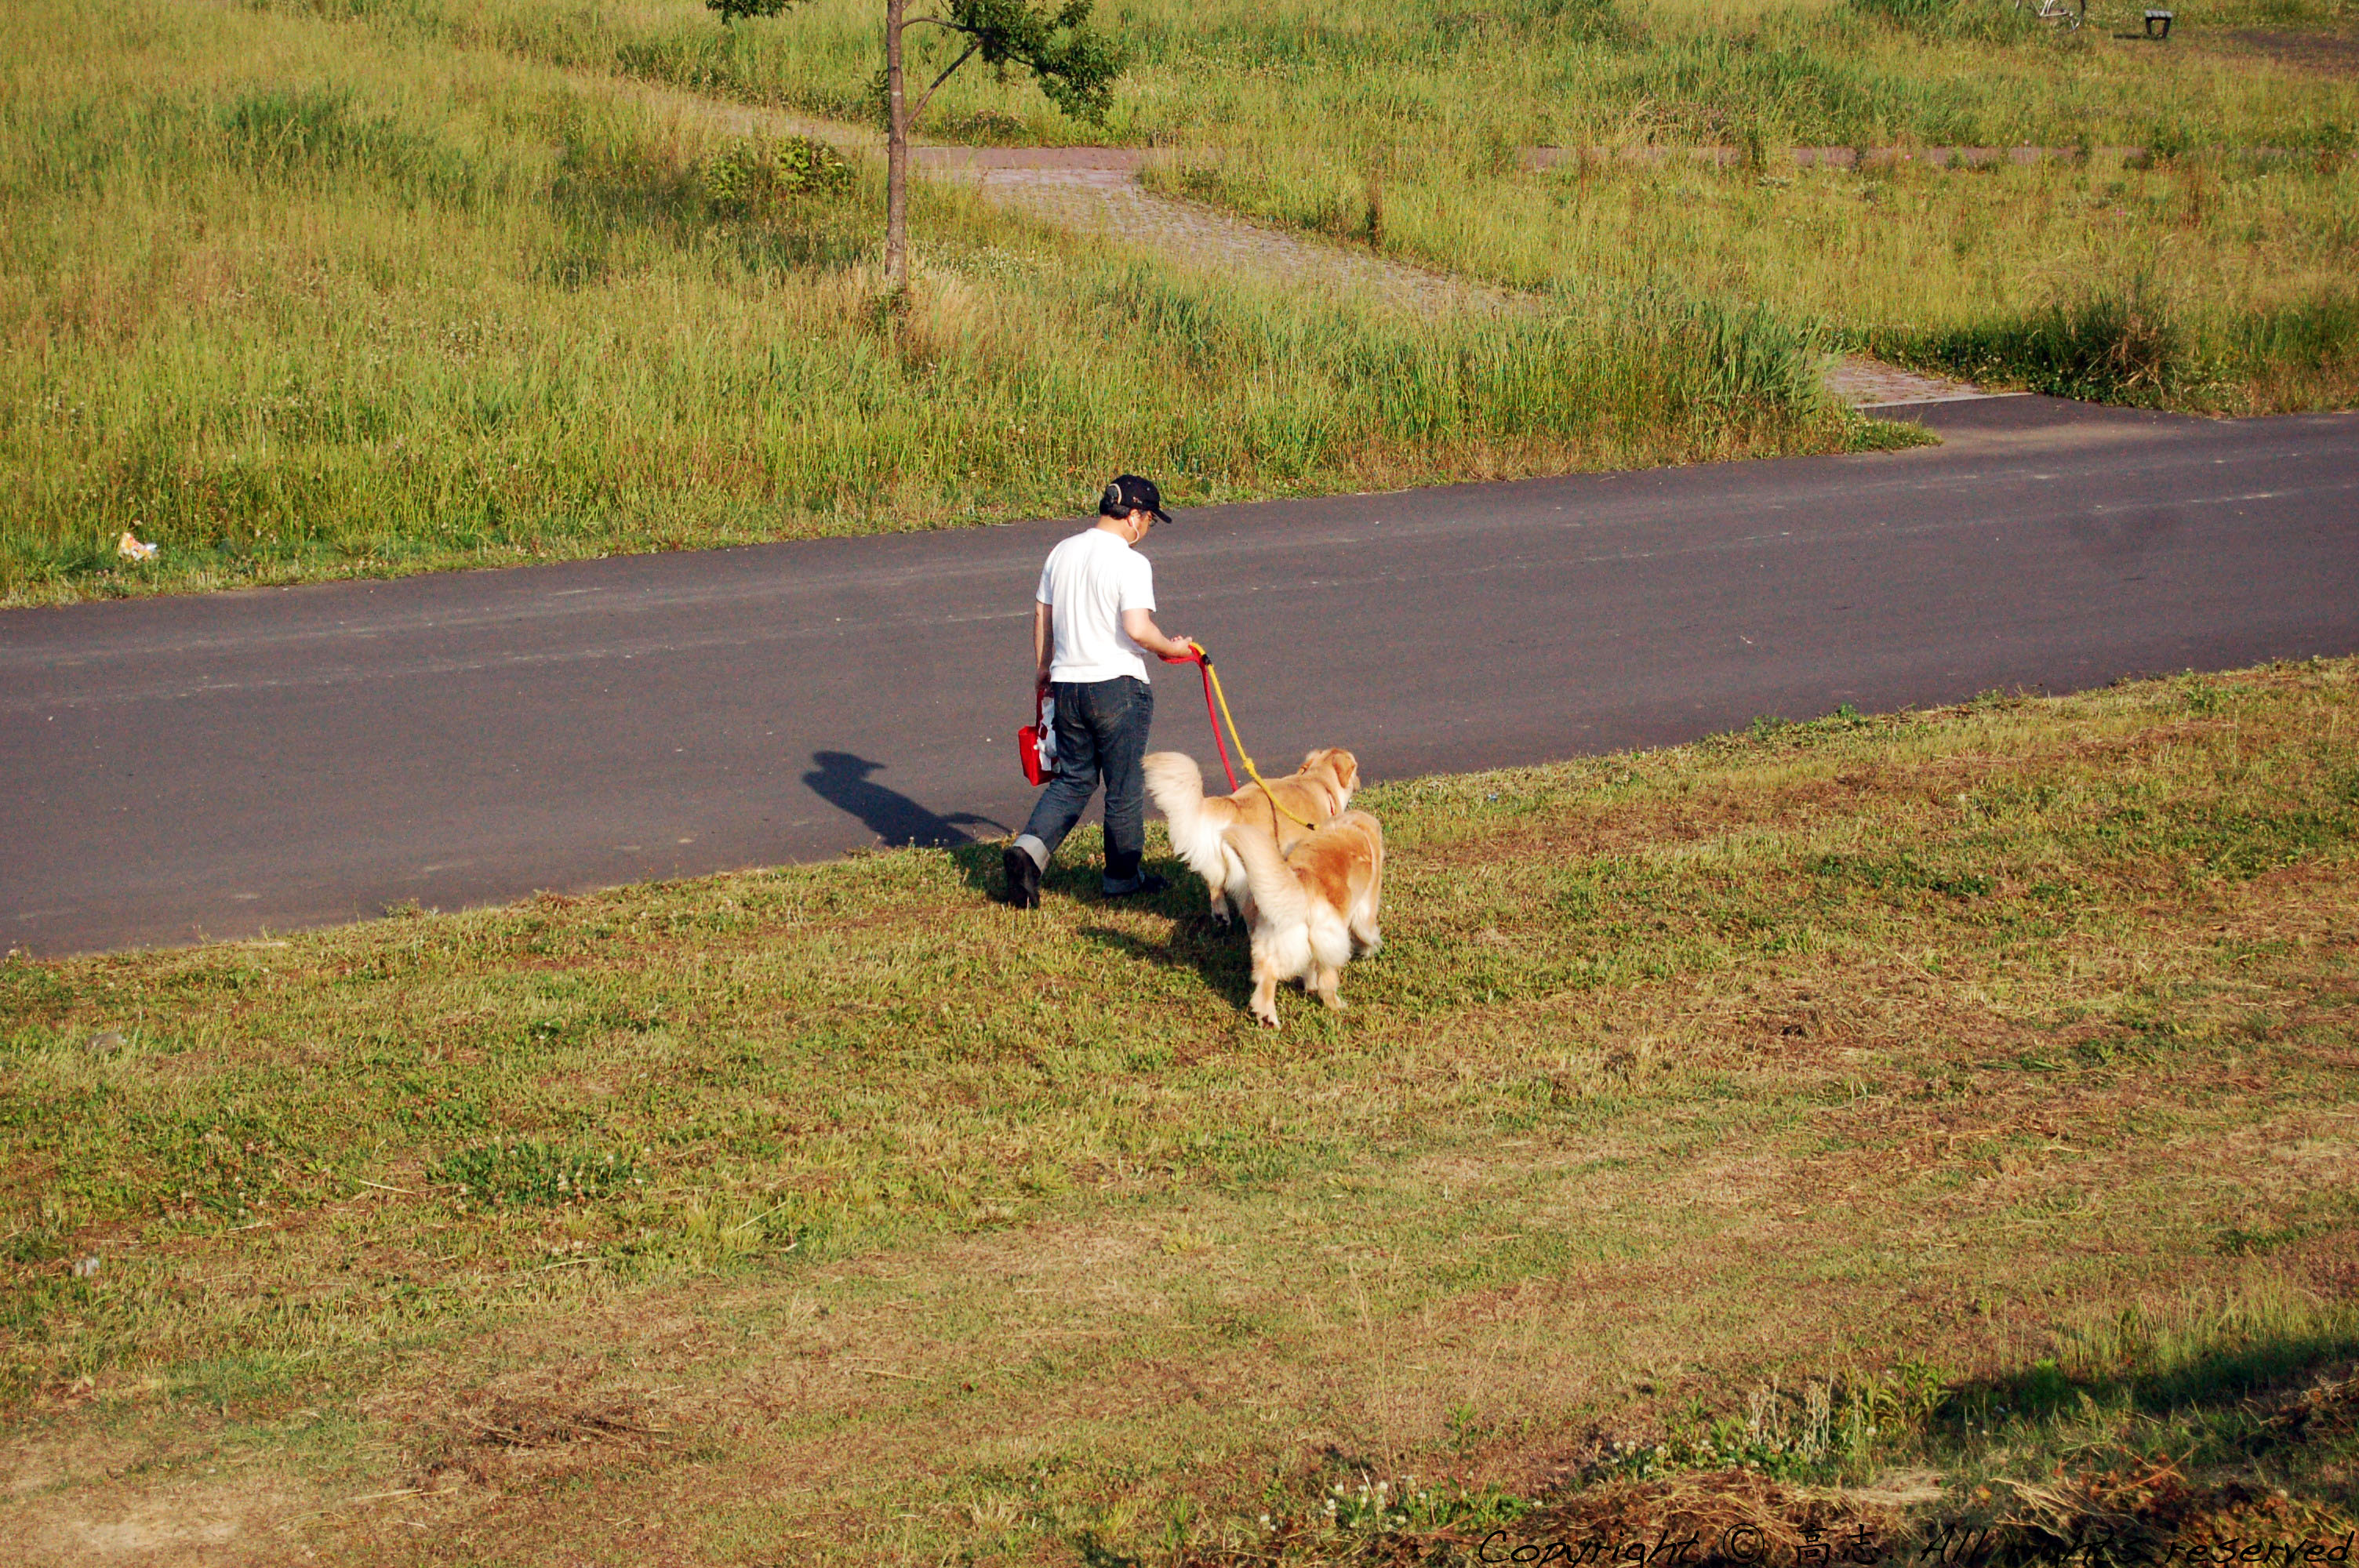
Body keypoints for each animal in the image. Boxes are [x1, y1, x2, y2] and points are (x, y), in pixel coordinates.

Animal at [1146, 745, 1368, 919]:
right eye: (1356, 767)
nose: (1359, 779)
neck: (1319, 779)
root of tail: (1234, 805)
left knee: (1215, 887)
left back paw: (1221, 916)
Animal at [1217, 806, 1377, 1028]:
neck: (1354, 826)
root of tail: (1303, 884)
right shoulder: (1366, 905)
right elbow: (1367, 931)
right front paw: (1369, 950)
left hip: (1281, 941)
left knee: (1269, 977)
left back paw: (1268, 1018)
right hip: (1331, 943)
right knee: (1326, 980)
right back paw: (1335, 1004)